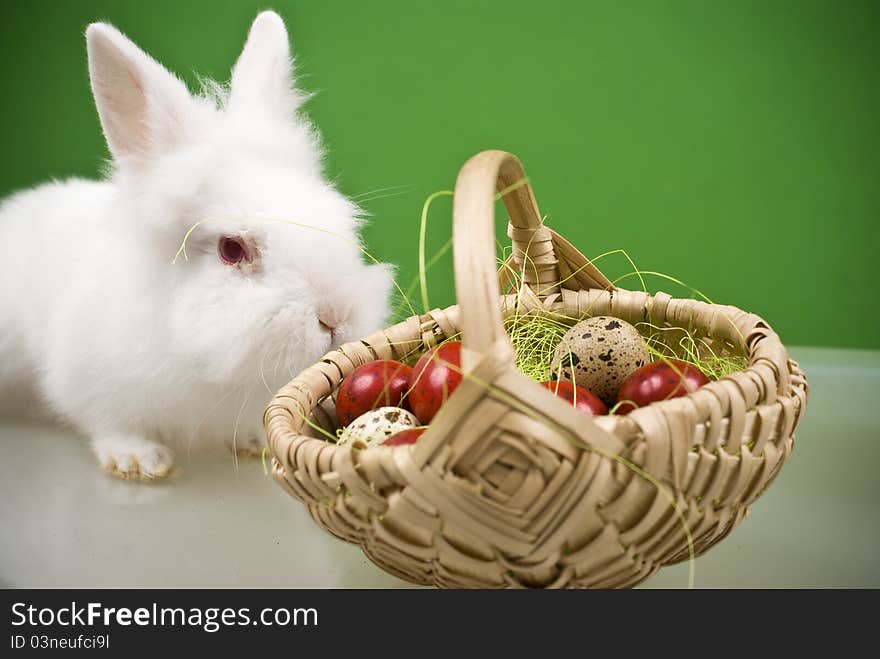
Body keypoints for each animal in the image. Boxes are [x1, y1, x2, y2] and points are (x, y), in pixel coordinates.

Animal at [0, 12, 392, 482]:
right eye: (232, 249)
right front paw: (140, 462)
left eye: (338, 219)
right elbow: (109, 421)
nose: (336, 316)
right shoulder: (86, 372)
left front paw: (255, 442)